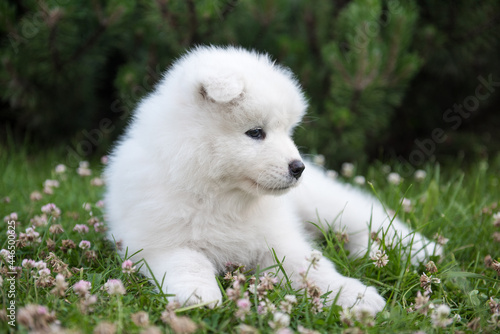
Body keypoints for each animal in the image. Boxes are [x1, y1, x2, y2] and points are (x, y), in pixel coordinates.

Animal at [104, 45, 438, 314]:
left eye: (288, 131)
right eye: (255, 132)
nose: (298, 167)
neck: (224, 197)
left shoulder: (277, 241)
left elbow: (314, 269)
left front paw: (355, 295)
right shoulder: (159, 242)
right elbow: (188, 264)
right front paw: (199, 296)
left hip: (323, 204)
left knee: (367, 217)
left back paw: (421, 249)